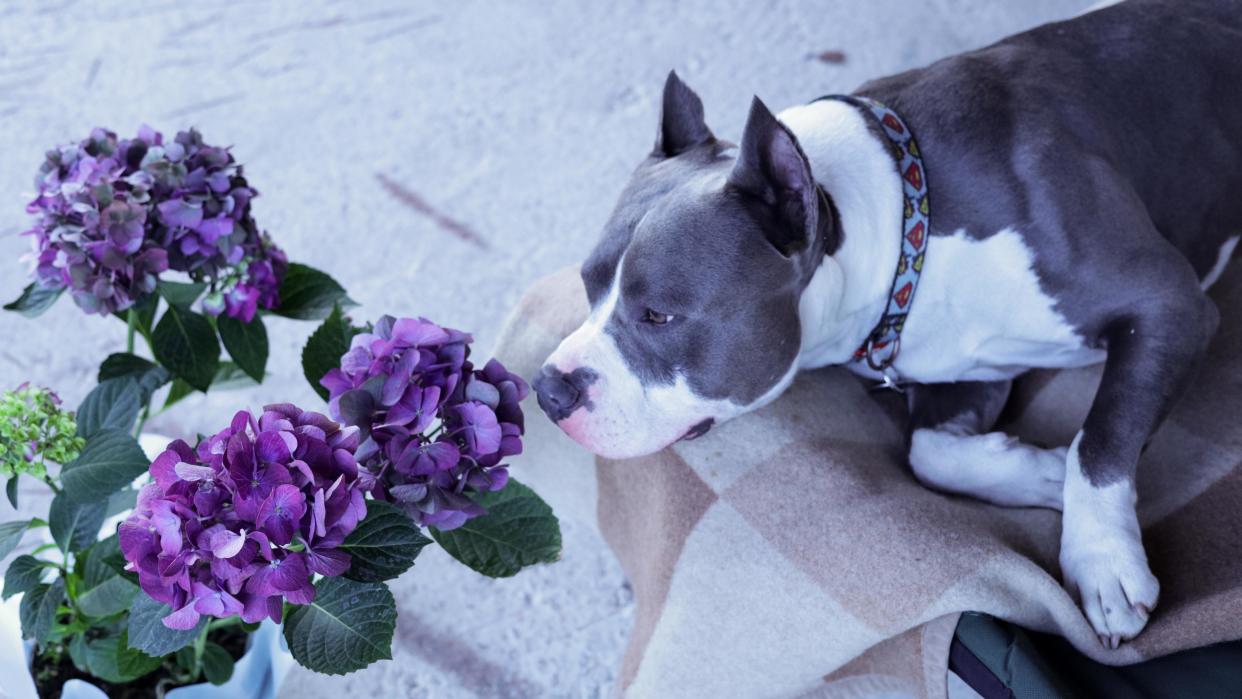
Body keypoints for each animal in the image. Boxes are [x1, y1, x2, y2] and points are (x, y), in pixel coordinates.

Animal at [531, 0, 1242, 650]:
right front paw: (1042, 472)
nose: (548, 388)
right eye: (588, 286)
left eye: (658, 315)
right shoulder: (964, 368)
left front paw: (1102, 561)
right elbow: (932, 455)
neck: (904, 216)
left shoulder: (1169, 304)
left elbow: (1101, 438)